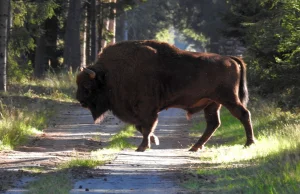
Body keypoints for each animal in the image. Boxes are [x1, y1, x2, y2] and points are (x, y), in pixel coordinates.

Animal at [75, 40, 255, 152]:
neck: (109, 74)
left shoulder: (147, 108)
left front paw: (143, 146)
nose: (80, 100)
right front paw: (153, 141)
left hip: (228, 99)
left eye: (87, 86)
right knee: (213, 123)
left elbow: (147, 126)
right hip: (212, 103)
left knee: (243, 114)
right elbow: (141, 127)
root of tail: (231, 59)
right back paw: (195, 147)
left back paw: (249, 143)